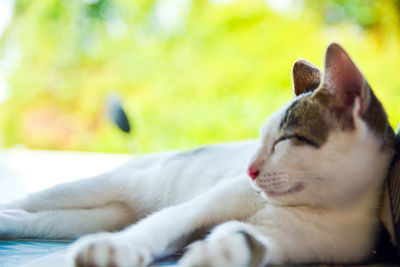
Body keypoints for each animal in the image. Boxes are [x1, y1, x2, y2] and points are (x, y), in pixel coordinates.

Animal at [0, 43, 396, 266]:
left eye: (286, 140)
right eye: (261, 140)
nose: (249, 169)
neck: (320, 207)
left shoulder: (289, 245)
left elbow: (247, 242)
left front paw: (215, 253)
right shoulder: (199, 208)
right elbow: (165, 223)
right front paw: (117, 249)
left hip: (100, 216)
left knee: (39, 219)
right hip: (98, 186)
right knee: (31, 200)